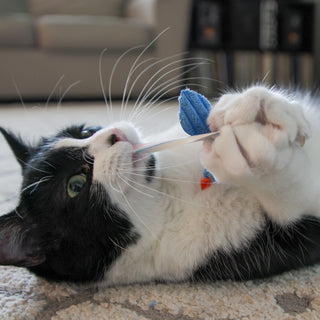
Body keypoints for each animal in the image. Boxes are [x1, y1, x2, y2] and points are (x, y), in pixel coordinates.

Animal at [0, 85, 320, 284]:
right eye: (75, 185)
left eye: (85, 131)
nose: (115, 135)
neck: (168, 190)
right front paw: (251, 153)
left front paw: (253, 105)